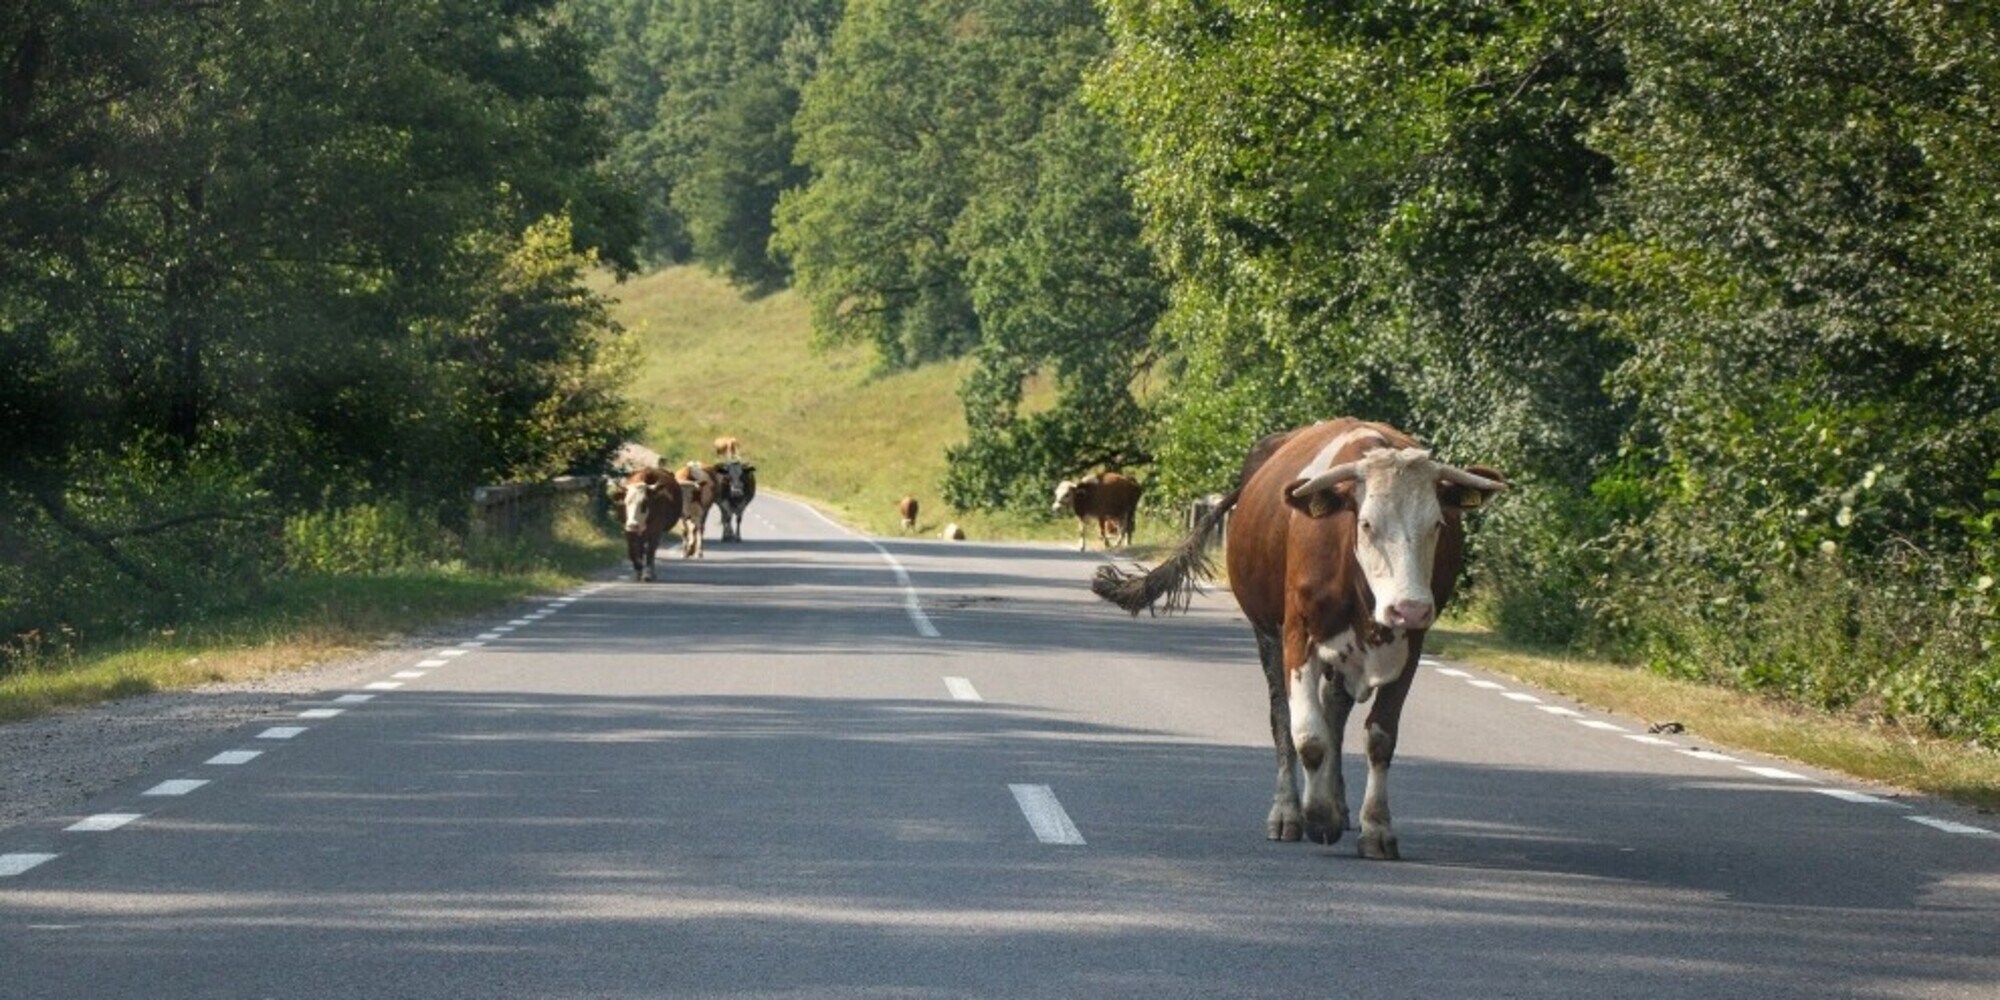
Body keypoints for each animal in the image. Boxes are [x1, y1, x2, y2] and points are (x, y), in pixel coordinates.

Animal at [1092, 419, 1505, 859]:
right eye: (1367, 524)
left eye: (1437, 524)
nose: (1409, 607)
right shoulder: (1297, 637)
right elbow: (1307, 736)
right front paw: (1317, 816)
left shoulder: (1410, 647)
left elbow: (1379, 737)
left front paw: (1375, 827)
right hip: (1267, 635)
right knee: (1283, 718)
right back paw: (1289, 811)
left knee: (1334, 709)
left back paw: (1339, 803)